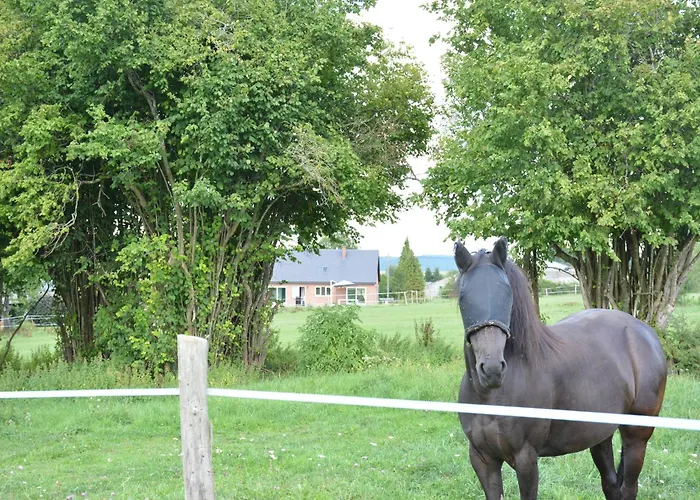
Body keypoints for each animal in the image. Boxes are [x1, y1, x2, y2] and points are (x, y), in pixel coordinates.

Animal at [454, 238, 667, 500]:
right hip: (600, 435)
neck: (490, 397)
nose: (492, 369)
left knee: (628, 488)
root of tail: (645, 333)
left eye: (506, 294)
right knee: (610, 485)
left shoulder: (526, 459)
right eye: (464, 297)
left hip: (637, 436)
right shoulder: (483, 459)